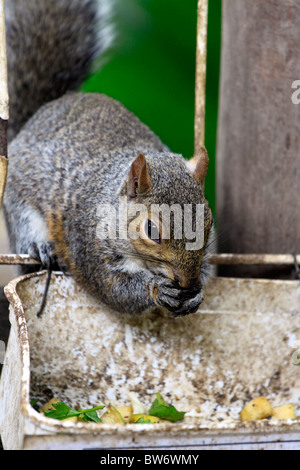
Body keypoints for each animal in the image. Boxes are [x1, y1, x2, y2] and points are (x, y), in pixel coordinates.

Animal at [2, 0, 213, 318]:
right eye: (151, 230)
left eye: (209, 223)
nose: (187, 282)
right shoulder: (88, 243)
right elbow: (114, 288)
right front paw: (157, 290)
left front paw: (196, 295)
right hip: (18, 199)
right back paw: (40, 247)